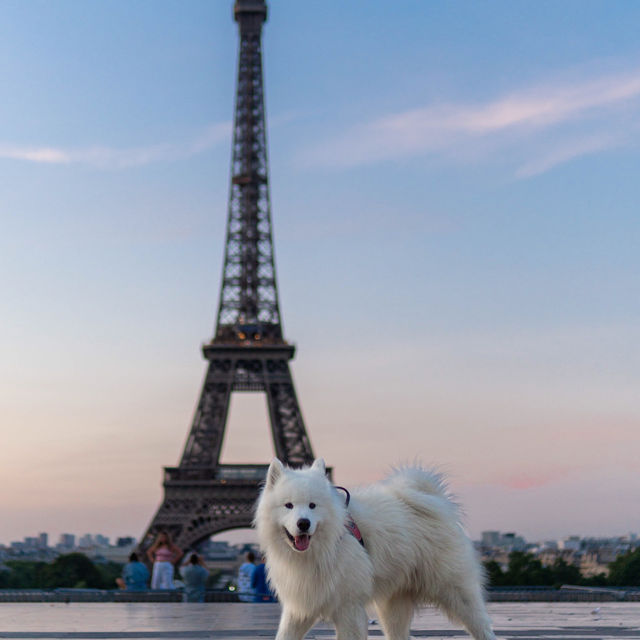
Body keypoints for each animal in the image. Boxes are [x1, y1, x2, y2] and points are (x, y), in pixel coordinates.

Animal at [254, 458, 496, 640]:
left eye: (313, 506)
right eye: (289, 505)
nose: (303, 523)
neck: (320, 551)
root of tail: (436, 500)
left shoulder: (349, 608)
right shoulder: (300, 607)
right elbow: (285, 635)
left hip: (456, 592)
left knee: (482, 625)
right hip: (394, 605)